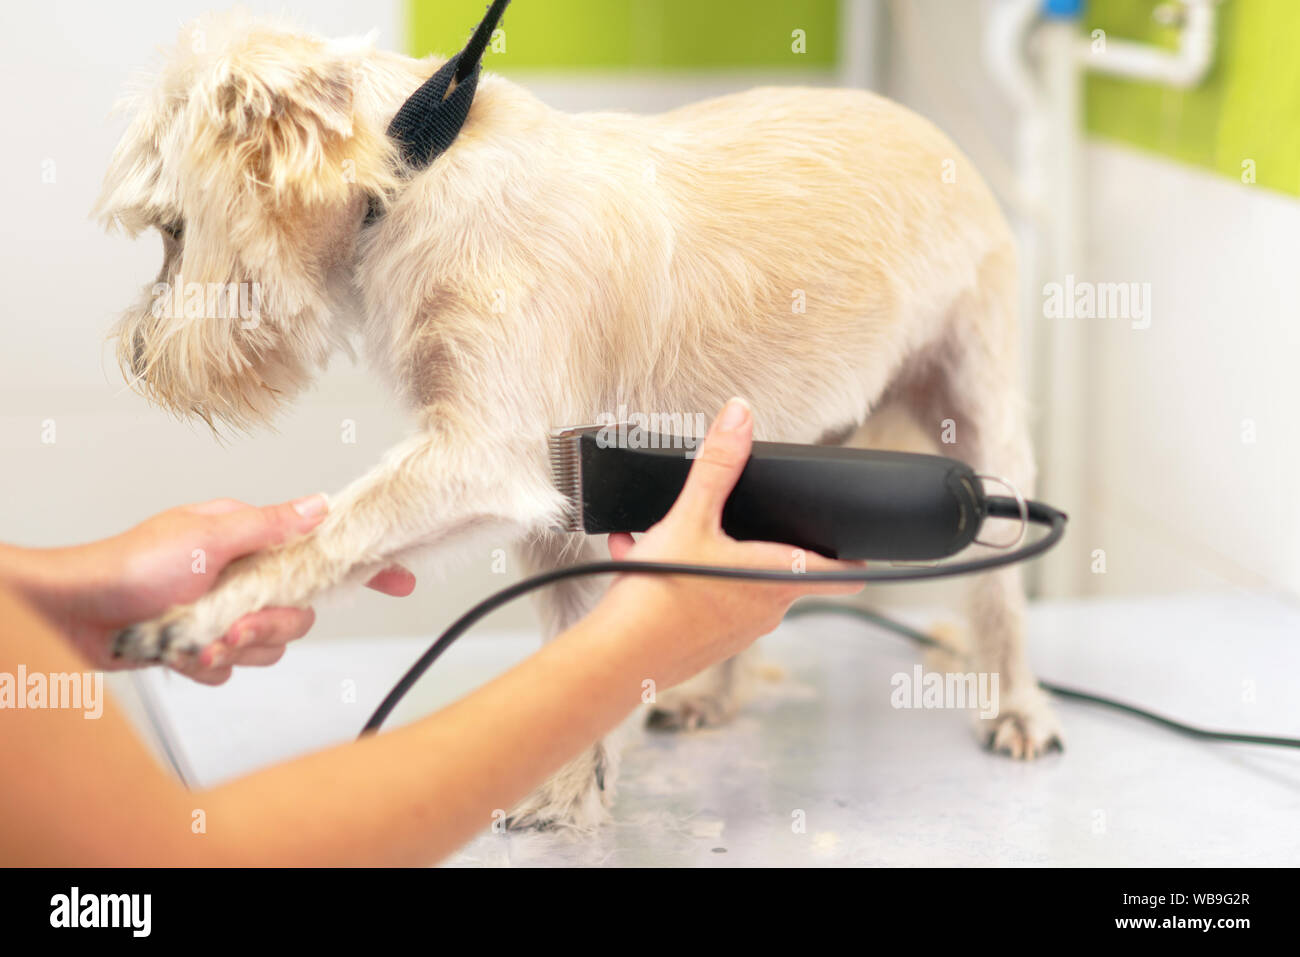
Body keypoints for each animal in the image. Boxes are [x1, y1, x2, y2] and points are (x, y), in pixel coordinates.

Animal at [96, 11, 1060, 826]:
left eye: (174, 230)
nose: (137, 356)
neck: (413, 168)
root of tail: (935, 134)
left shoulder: (483, 454)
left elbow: (325, 532)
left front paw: (205, 606)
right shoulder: (559, 494)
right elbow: (569, 640)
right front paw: (573, 781)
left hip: (976, 397)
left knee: (1003, 581)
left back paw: (1018, 702)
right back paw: (717, 694)